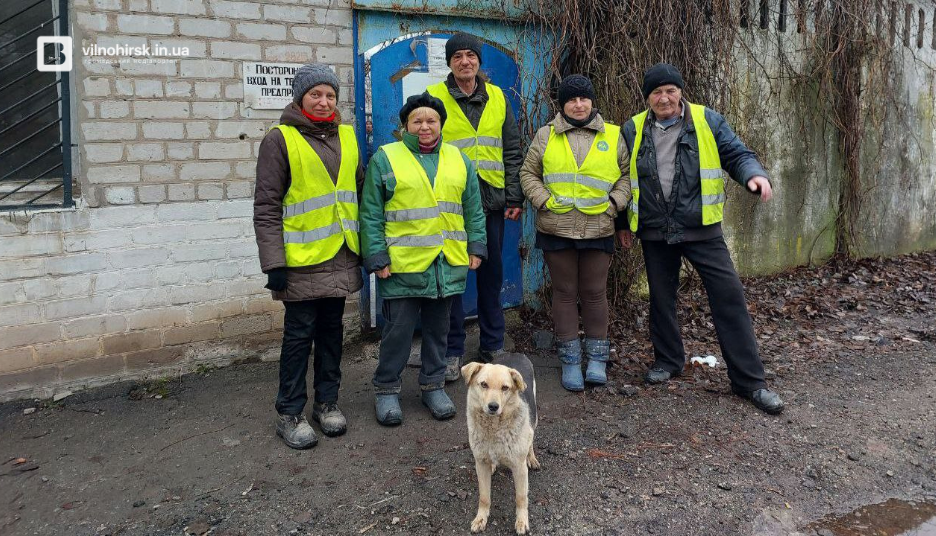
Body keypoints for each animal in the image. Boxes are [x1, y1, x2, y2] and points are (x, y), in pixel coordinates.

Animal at [462, 354, 540, 532]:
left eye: (505, 388)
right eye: (483, 384)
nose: (493, 406)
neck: (494, 428)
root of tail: (516, 354)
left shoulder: (519, 468)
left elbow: (521, 497)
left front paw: (522, 521)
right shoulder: (480, 464)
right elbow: (484, 497)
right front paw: (481, 518)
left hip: (534, 417)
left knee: (531, 438)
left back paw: (531, 457)